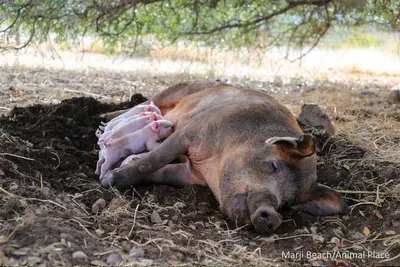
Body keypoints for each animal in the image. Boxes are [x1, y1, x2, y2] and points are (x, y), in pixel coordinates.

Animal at [99, 81, 346, 234]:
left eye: (287, 202)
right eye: (273, 165)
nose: (274, 216)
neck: (212, 166)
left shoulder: (190, 175)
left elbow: (160, 173)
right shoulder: (193, 130)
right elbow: (154, 160)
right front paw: (109, 180)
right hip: (176, 90)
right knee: (145, 102)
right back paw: (103, 117)